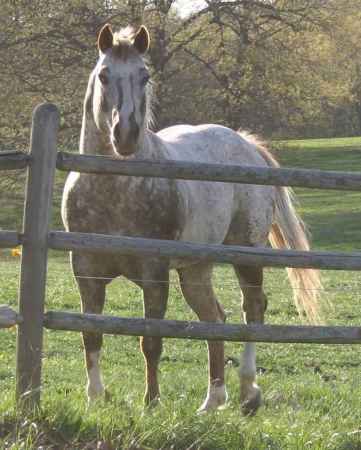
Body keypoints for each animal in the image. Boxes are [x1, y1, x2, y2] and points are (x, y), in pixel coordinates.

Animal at [61, 22, 320, 414]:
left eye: (144, 76)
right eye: (105, 75)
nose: (126, 135)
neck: (115, 188)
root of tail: (245, 144)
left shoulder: (154, 272)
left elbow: (151, 340)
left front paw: (151, 403)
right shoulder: (86, 269)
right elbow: (90, 333)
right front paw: (94, 399)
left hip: (246, 254)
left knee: (252, 310)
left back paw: (248, 393)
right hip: (196, 269)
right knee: (215, 319)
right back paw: (212, 400)